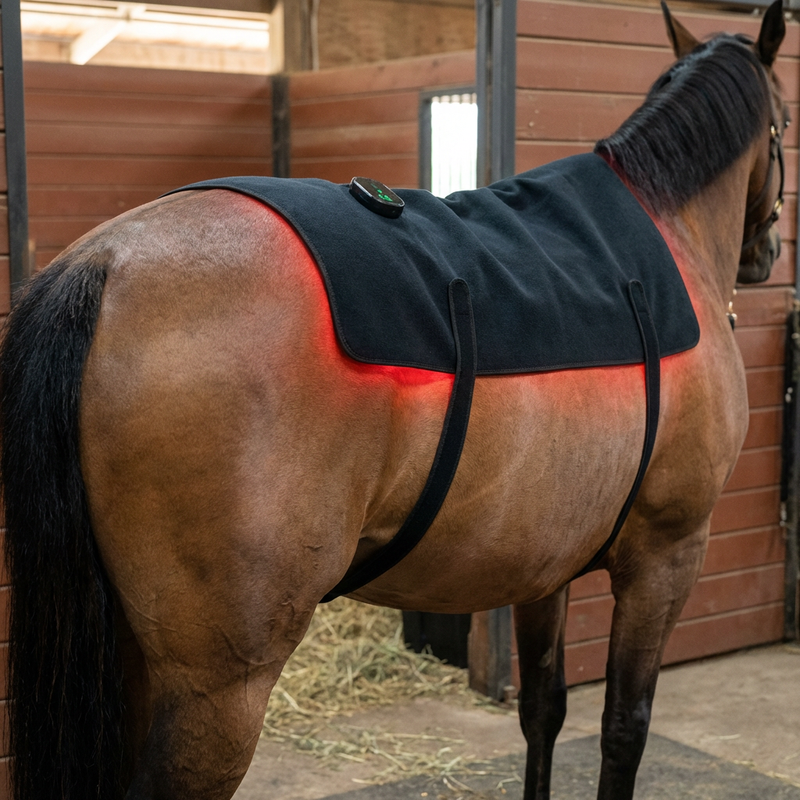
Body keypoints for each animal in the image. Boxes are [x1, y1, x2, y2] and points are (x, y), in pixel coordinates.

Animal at [0, 2, 788, 798]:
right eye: (785, 119)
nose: (765, 256)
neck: (668, 233)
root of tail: (103, 264)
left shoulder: (548, 566)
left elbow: (543, 709)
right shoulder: (665, 556)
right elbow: (625, 728)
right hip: (216, 687)